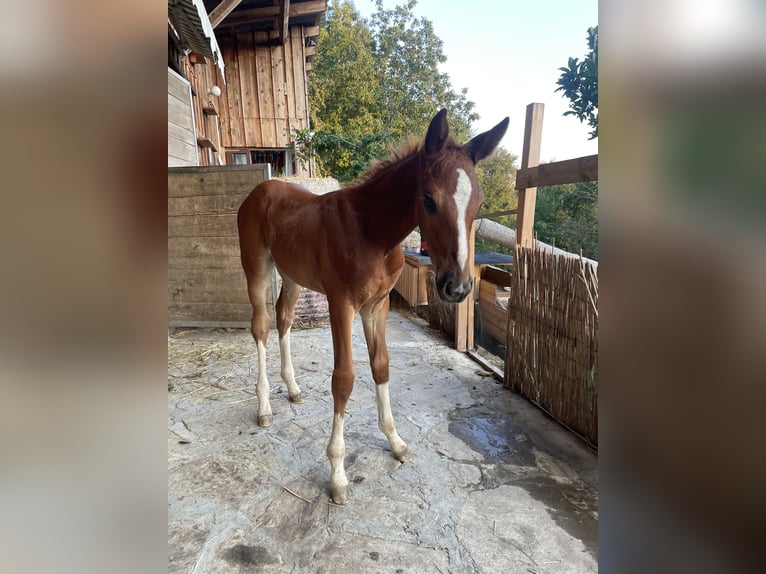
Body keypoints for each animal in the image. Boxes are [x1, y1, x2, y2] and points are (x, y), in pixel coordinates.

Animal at [237, 109, 509, 504]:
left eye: (478, 201)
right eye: (429, 199)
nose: (456, 287)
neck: (371, 232)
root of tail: (262, 189)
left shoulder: (377, 306)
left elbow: (381, 366)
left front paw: (395, 441)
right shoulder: (341, 304)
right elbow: (344, 379)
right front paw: (338, 473)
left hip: (291, 274)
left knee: (284, 317)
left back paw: (292, 388)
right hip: (256, 266)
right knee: (260, 325)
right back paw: (264, 407)